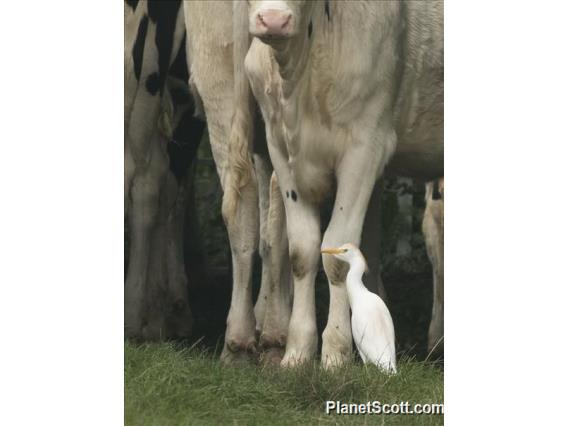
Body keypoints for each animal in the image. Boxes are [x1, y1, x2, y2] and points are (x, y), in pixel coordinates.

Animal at [241, 0, 444, 366]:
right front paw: (297, 352)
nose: (274, 21)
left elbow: (336, 251)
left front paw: (336, 353)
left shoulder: (365, 146)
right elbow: (303, 250)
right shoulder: (279, 146)